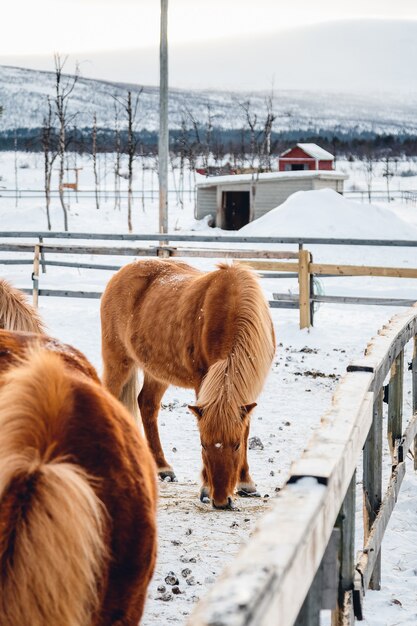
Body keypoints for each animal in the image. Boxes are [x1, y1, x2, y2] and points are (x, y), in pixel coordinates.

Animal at [101, 258, 276, 508]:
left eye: (236, 445)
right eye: (202, 444)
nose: (220, 501)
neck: (232, 311)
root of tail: (121, 273)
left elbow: (245, 429)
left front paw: (246, 483)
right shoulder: (201, 380)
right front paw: (205, 488)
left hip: (156, 371)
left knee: (147, 405)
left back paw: (163, 468)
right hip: (118, 361)